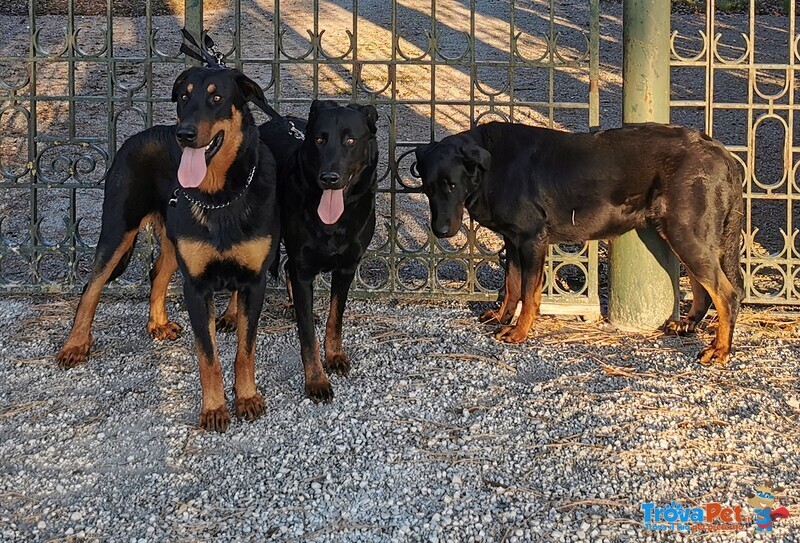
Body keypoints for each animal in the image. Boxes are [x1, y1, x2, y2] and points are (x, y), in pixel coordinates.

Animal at [54, 67, 280, 434]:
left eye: (217, 98)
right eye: (184, 97)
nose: (183, 134)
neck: (220, 195)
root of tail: (138, 135)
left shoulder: (253, 282)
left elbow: (245, 351)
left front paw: (246, 397)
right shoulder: (197, 287)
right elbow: (208, 356)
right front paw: (214, 408)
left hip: (171, 241)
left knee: (157, 273)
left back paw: (157, 323)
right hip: (119, 230)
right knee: (92, 286)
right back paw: (75, 344)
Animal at [416, 123, 748, 366]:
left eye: (453, 186)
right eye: (428, 188)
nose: (441, 231)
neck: (490, 166)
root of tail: (722, 153)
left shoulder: (532, 240)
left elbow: (528, 293)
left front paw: (519, 331)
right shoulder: (513, 241)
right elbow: (511, 286)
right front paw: (502, 317)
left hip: (686, 232)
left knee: (727, 294)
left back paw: (719, 350)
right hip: (683, 233)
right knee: (703, 288)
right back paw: (688, 325)